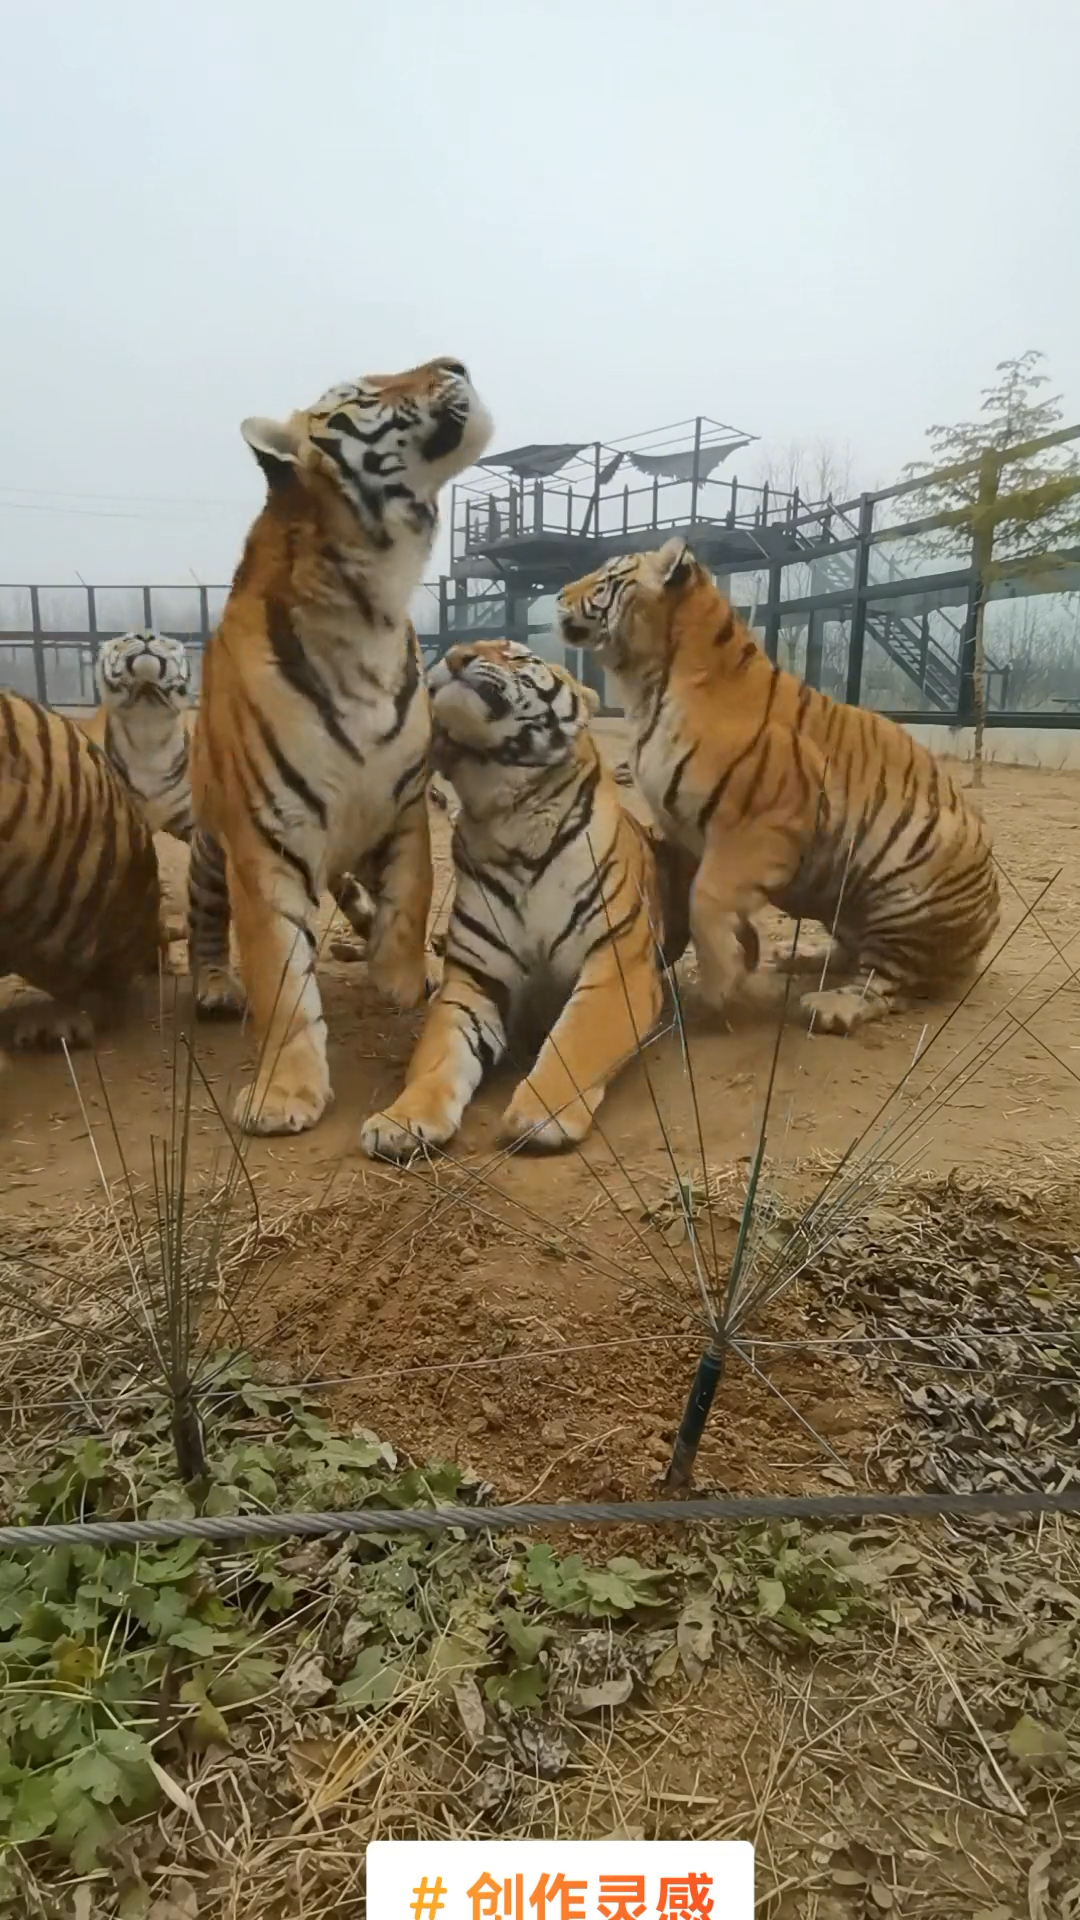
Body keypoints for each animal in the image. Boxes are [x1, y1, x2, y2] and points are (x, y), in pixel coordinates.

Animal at [187, 355, 490, 1128]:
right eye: (364, 392)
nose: (457, 363)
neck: (371, 606)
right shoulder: (265, 839)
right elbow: (280, 974)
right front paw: (285, 1094)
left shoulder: (406, 802)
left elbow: (412, 894)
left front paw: (402, 977)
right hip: (209, 840)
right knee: (205, 916)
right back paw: (212, 983)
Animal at [361, 637, 699, 1159]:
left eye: (517, 655)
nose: (454, 656)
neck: (509, 813)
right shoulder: (473, 981)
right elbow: (437, 1057)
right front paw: (401, 1120)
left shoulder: (617, 964)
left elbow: (577, 1042)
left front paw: (541, 1115)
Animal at [557, 533, 999, 1036]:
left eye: (606, 579)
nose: (558, 596)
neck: (646, 686)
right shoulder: (685, 830)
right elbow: (695, 895)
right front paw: (744, 948)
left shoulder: (761, 824)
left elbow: (704, 899)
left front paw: (721, 983)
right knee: (854, 952)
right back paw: (800, 955)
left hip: (908, 891)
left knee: (886, 981)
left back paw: (832, 1005)